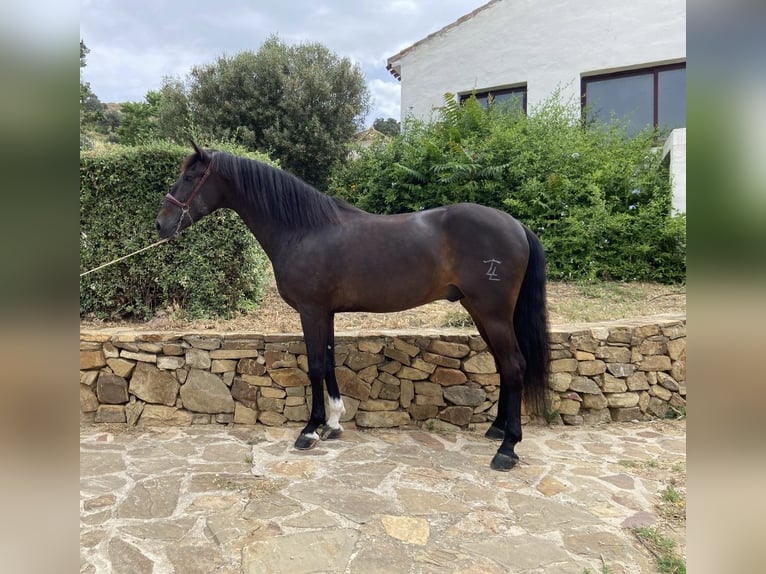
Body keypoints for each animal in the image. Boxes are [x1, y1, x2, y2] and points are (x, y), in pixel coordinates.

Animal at [156, 142, 550, 471]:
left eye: (190, 177)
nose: (161, 225)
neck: (304, 229)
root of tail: (516, 225)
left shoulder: (311, 310)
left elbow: (315, 366)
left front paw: (310, 430)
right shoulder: (326, 313)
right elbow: (329, 362)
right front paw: (333, 423)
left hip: (493, 313)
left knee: (514, 365)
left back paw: (507, 449)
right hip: (480, 312)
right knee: (503, 366)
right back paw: (497, 429)